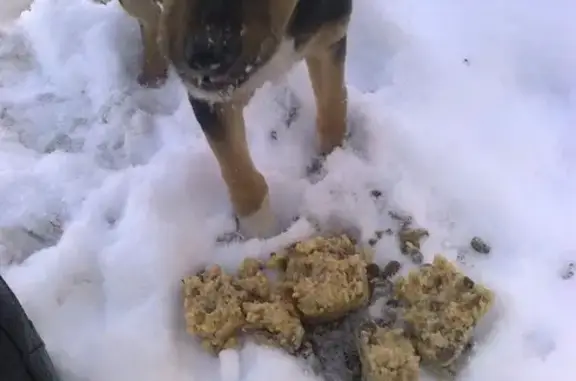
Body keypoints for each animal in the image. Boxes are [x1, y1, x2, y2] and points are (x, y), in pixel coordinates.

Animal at [118, 0, 352, 238]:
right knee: (150, 19)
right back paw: (152, 74)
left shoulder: (329, 37)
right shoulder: (209, 98)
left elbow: (333, 106)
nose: (205, 58)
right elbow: (236, 166)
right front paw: (263, 233)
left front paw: (333, 162)